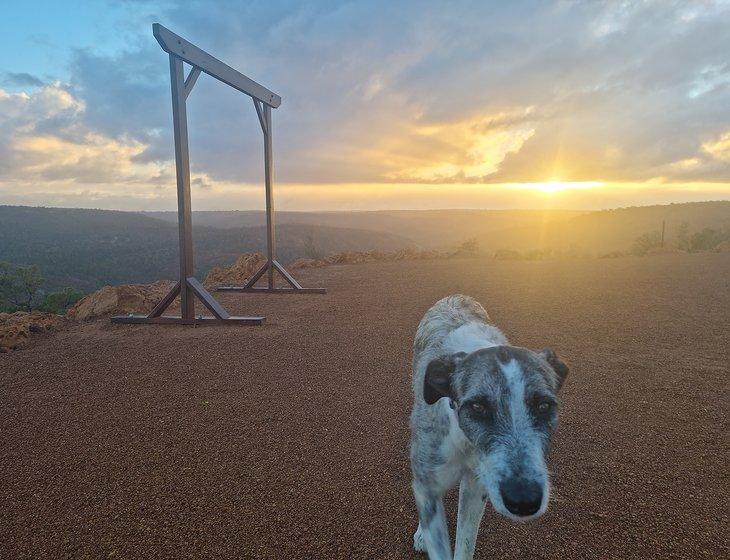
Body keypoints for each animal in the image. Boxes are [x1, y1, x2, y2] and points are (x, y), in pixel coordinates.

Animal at [406, 296, 564, 556]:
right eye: (478, 406)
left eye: (544, 406)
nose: (524, 500)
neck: (464, 437)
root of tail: (454, 296)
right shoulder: (430, 481)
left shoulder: (476, 487)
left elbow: (465, 544)